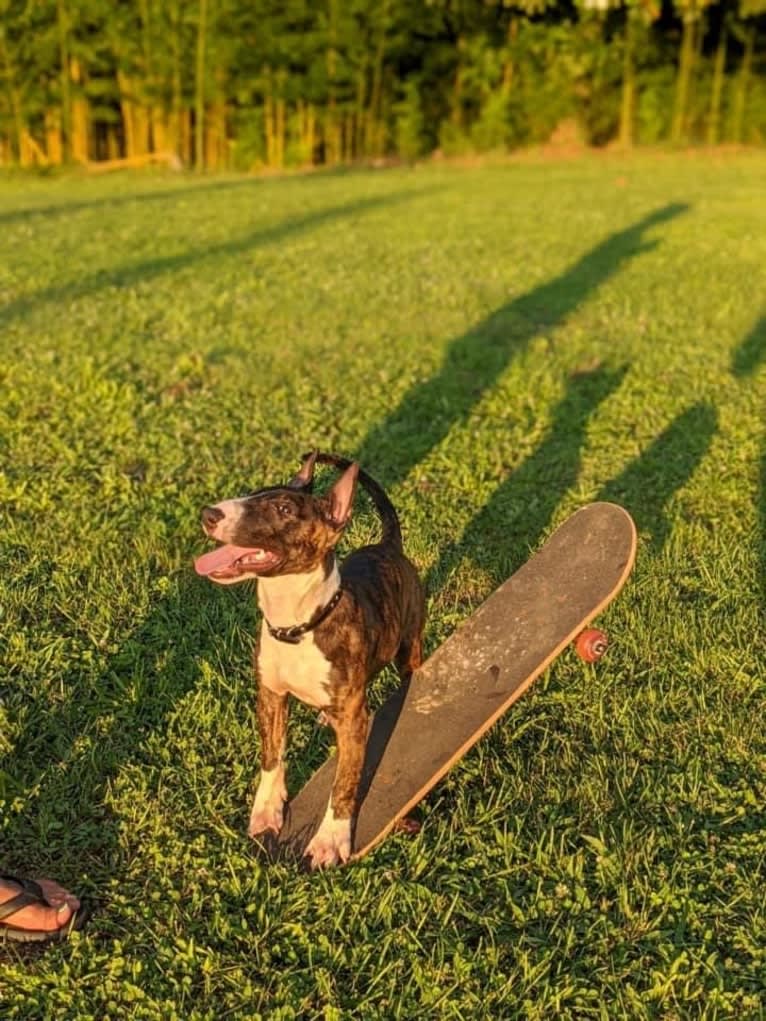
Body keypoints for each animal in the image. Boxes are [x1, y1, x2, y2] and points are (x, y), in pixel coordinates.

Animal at [193, 451, 426, 865]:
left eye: (284, 509)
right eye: (253, 493)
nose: (209, 514)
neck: (298, 627)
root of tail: (388, 546)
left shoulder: (353, 719)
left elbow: (345, 781)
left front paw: (331, 839)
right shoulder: (270, 695)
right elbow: (272, 755)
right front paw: (266, 811)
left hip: (409, 645)